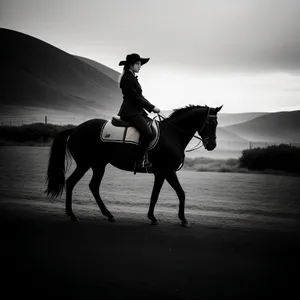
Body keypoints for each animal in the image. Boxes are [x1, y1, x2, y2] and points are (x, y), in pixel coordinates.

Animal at [45, 104, 223, 226]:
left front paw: (152, 217)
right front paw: (183, 219)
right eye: (210, 123)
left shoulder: (160, 173)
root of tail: (76, 129)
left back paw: (108, 215)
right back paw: (73, 214)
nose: (212, 145)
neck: (172, 134)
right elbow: (181, 193)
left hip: (98, 165)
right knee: (72, 183)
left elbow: (155, 195)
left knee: (93, 186)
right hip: (85, 164)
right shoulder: (169, 171)